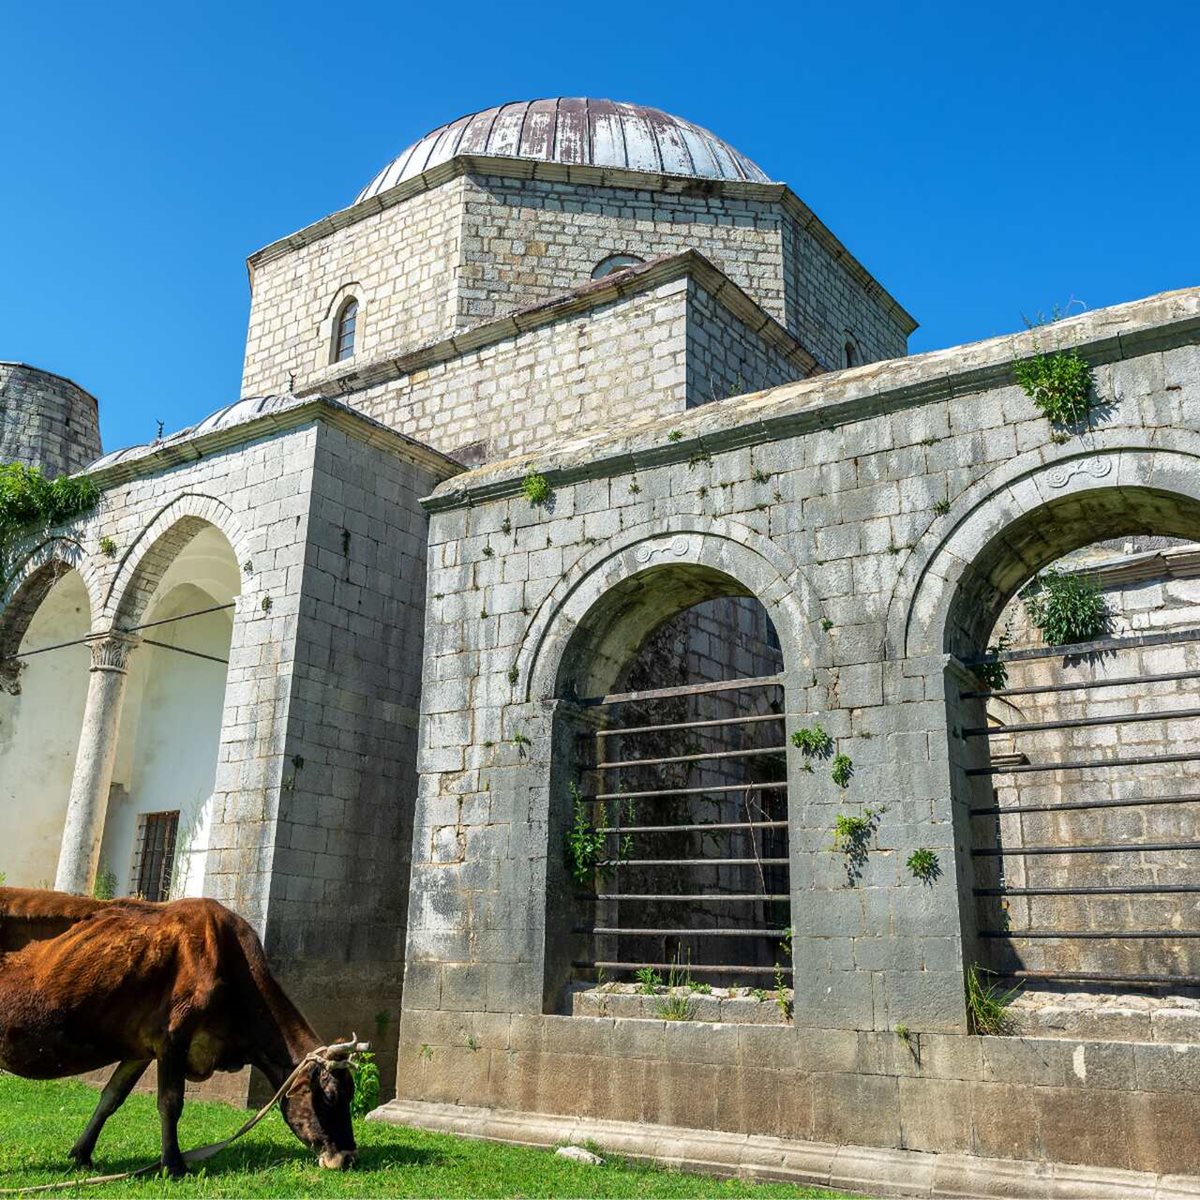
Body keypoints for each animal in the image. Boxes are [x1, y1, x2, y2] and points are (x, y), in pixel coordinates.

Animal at [0, 892, 357, 1171]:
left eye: (350, 1093)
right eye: (330, 1096)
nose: (348, 1157)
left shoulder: (140, 1049)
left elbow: (111, 1098)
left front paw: (82, 1155)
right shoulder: (173, 1037)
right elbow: (170, 1102)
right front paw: (173, 1165)